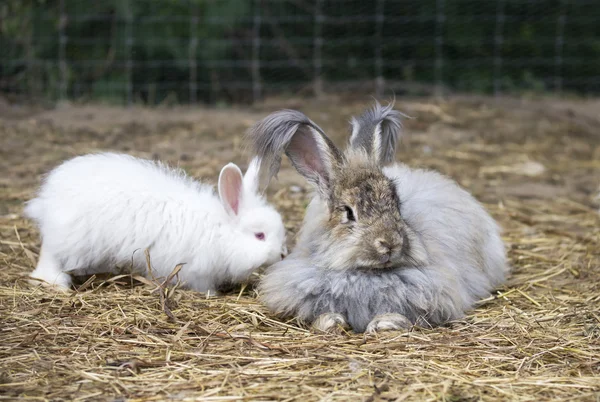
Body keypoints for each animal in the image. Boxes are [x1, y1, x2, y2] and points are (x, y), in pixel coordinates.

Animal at [27, 152, 290, 294]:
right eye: (259, 235)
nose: (282, 255)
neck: (220, 231)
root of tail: (48, 196)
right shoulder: (194, 267)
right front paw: (212, 294)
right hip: (71, 238)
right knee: (50, 255)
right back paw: (54, 281)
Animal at [246, 103, 508, 332]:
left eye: (397, 205)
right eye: (348, 212)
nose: (390, 243)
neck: (366, 274)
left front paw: (382, 325)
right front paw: (331, 323)